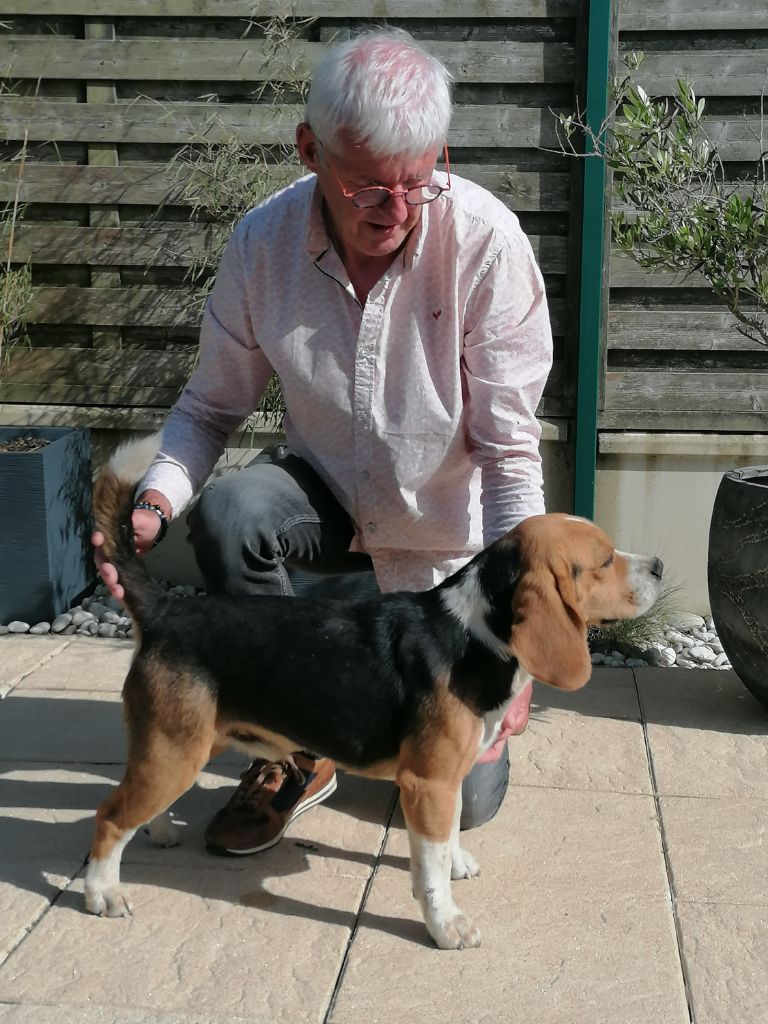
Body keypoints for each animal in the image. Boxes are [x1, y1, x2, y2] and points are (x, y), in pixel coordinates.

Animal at [82, 436, 663, 946]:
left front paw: (456, 863)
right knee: (109, 816)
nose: (659, 564)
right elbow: (430, 869)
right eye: (604, 560)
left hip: (172, 750)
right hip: (174, 751)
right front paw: (445, 925)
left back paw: (159, 832)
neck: (475, 631)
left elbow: (450, 834)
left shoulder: (450, 780)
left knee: (136, 806)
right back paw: (102, 893)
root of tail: (167, 609)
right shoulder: (427, 783)